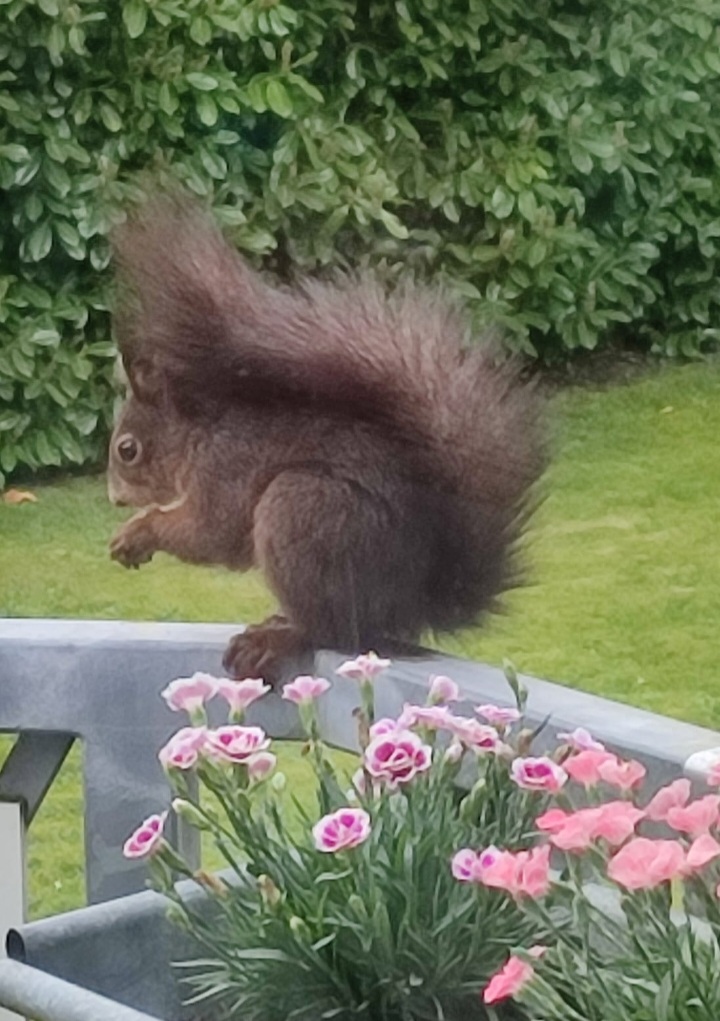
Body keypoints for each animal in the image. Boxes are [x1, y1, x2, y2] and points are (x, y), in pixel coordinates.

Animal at [106, 191, 543, 686]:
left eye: (127, 449)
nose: (115, 497)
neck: (198, 434)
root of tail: (411, 605)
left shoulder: (227, 468)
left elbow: (210, 533)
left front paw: (138, 531)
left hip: (304, 510)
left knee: (331, 629)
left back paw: (279, 636)